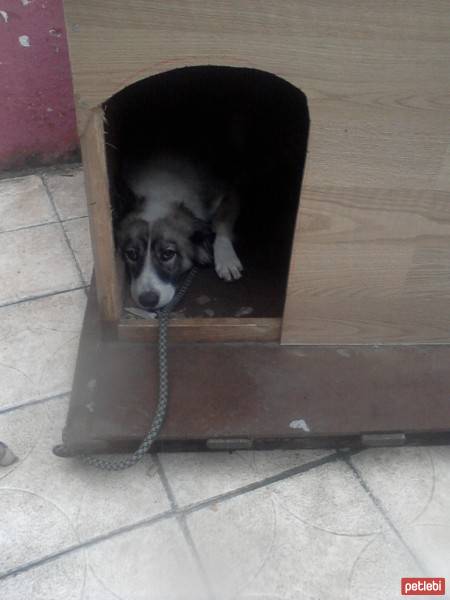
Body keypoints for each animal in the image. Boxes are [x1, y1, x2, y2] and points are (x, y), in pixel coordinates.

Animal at [116, 155, 243, 310]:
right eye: (131, 254)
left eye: (168, 254)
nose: (148, 301)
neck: (161, 193)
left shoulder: (228, 192)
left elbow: (221, 222)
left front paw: (226, 257)